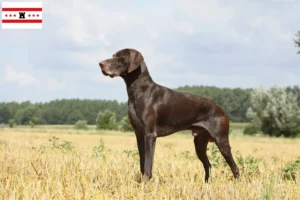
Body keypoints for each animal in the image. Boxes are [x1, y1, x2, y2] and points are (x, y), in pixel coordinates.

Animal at [99, 48, 240, 183]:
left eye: (119, 57)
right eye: (113, 55)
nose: (100, 64)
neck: (138, 90)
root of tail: (221, 109)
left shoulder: (150, 135)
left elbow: (148, 163)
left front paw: (146, 183)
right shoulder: (139, 134)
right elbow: (142, 163)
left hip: (221, 140)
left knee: (234, 167)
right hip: (199, 143)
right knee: (208, 165)